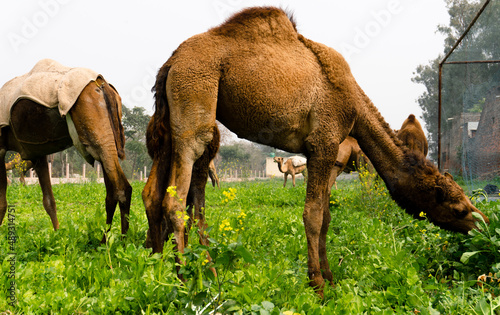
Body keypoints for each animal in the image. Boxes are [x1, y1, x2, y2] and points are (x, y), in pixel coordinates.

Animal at [0, 60, 131, 242]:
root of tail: (101, 84)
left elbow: (2, 202)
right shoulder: (37, 152)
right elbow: (49, 200)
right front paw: (57, 237)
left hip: (95, 132)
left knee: (122, 187)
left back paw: (121, 243)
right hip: (105, 136)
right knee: (112, 191)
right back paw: (105, 239)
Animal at [143, 7, 490, 298]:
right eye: (456, 205)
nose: (483, 223)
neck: (354, 104)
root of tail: (171, 63)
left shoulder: (319, 153)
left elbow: (326, 216)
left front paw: (331, 277)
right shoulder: (324, 143)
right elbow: (313, 214)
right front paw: (318, 285)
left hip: (172, 121)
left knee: (154, 194)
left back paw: (163, 267)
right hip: (195, 99)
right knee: (176, 198)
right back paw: (188, 281)